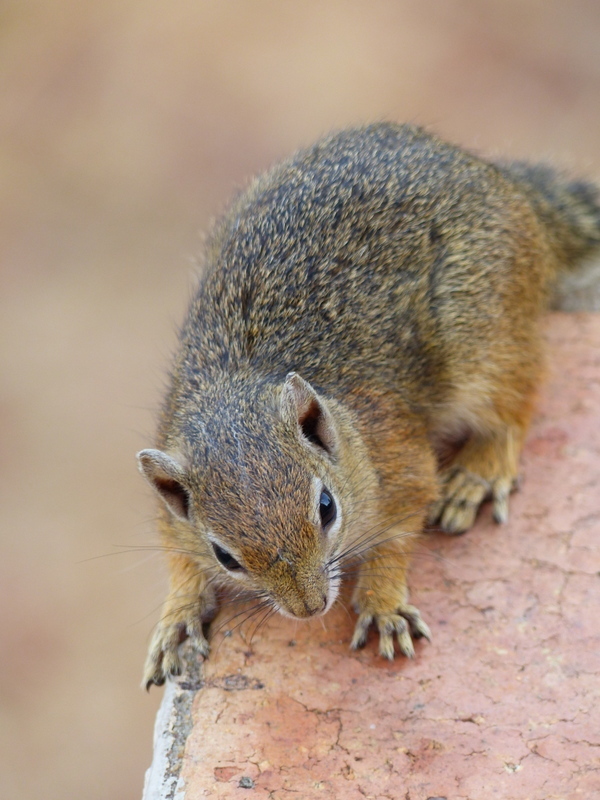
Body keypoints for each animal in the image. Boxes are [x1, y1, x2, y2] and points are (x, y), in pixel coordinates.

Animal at [137, 123, 600, 688]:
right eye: (225, 555)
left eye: (326, 507)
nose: (310, 607)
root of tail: (504, 182)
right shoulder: (171, 507)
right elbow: (178, 557)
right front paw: (178, 617)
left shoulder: (401, 459)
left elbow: (396, 536)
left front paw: (382, 602)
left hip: (484, 336)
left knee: (516, 401)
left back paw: (479, 473)